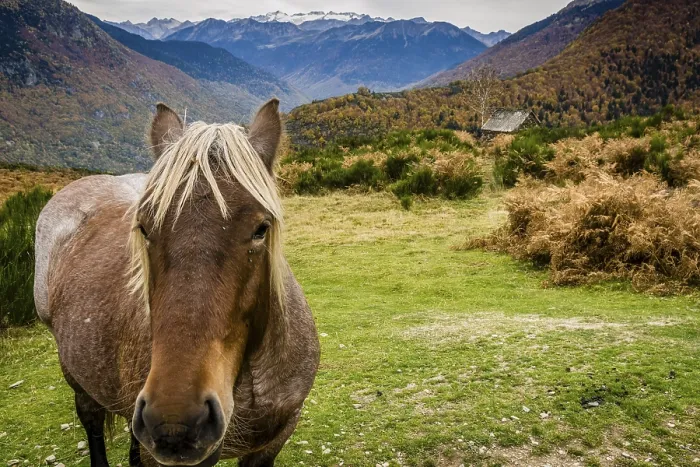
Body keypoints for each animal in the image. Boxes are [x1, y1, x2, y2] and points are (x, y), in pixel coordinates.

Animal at [34, 100, 320, 467]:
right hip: (77, 375)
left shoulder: (273, 441)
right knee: (91, 420)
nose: (174, 420)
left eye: (261, 228)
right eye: (143, 228)